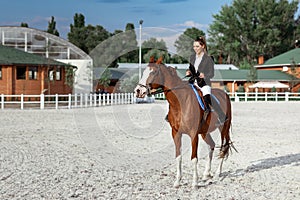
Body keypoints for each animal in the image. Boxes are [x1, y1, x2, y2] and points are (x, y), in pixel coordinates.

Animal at [134, 57, 234, 188]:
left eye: (153, 72)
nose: (138, 90)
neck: (180, 102)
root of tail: (225, 94)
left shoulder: (193, 134)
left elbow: (194, 158)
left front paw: (195, 183)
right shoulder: (176, 133)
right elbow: (178, 156)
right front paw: (177, 181)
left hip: (223, 128)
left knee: (224, 147)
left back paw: (217, 173)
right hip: (205, 132)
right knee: (211, 145)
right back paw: (206, 174)